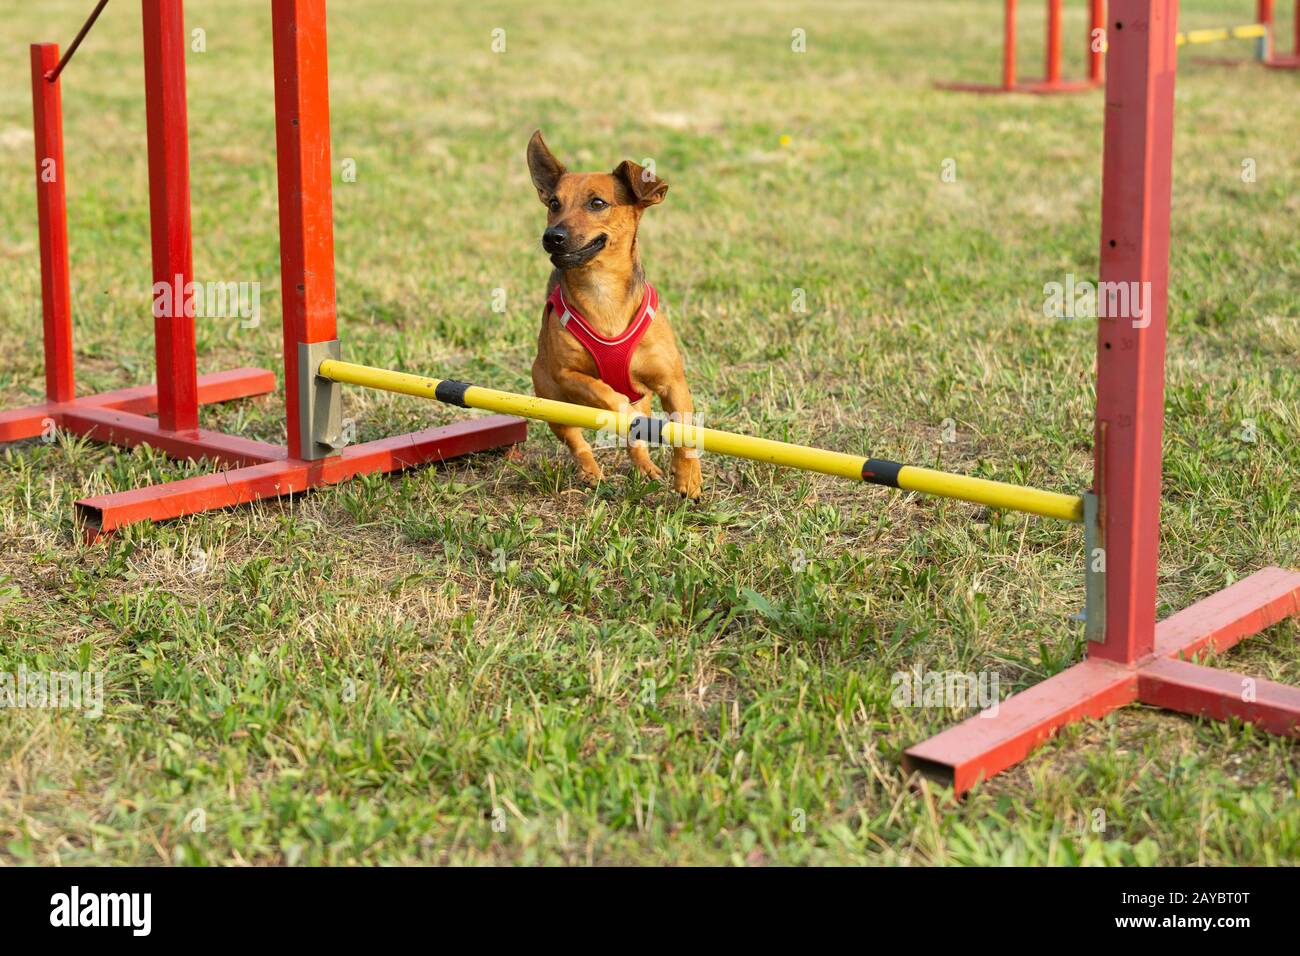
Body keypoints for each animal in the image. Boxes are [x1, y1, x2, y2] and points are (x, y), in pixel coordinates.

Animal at [525, 130, 702, 496]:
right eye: (554, 204)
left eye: (597, 203)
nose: (552, 236)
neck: (601, 291)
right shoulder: (568, 375)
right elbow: (606, 393)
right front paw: (618, 404)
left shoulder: (672, 383)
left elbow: (684, 430)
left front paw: (688, 477)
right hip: (552, 401)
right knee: (578, 442)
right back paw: (591, 472)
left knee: (637, 443)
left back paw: (647, 469)